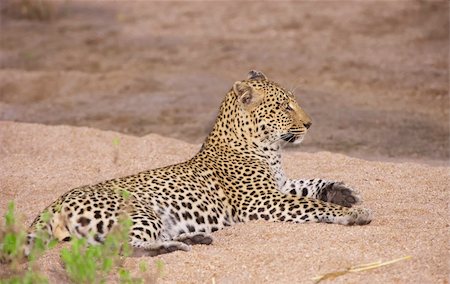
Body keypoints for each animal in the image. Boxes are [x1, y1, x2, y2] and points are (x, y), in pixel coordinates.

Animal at [22, 70, 370, 258]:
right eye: (285, 106)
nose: (310, 124)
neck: (269, 149)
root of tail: (55, 202)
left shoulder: (279, 186)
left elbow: (311, 184)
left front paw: (344, 193)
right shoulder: (261, 202)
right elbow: (310, 205)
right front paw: (354, 213)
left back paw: (193, 238)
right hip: (139, 212)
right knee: (121, 246)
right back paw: (173, 247)